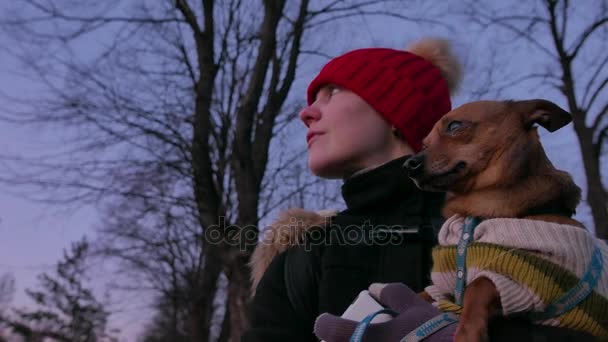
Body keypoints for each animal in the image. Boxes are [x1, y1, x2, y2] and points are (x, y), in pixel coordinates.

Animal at [402, 98, 604, 340]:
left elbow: (477, 285)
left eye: (454, 126)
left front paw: (468, 332)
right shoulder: (445, 280)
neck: (479, 212)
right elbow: (421, 293)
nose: (408, 165)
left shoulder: (537, 275)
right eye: (424, 144)